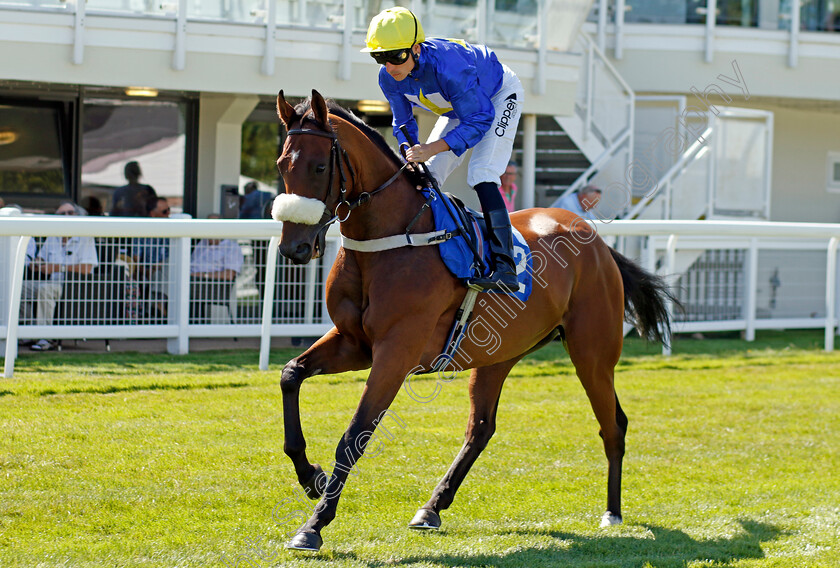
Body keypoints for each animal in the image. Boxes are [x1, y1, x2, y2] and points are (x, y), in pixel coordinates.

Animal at [276, 89, 676, 552]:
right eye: (282, 165)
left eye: (320, 167)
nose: (293, 248)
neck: (390, 238)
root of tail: (596, 241)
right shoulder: (353, 342)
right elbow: (291, 374)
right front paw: (311, 477)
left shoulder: (396, 351)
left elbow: (354, 435)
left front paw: (313, 525)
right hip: (499, 353)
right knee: (481, 428)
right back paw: (431, 507)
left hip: (592, 353)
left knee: (613, 424)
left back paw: (612, 513)